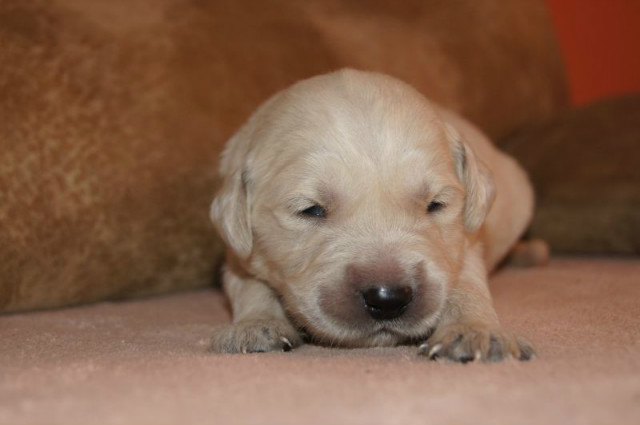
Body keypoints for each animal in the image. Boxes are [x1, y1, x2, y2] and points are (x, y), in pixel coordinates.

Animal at [209, 69, 536, 362]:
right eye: (311, 209)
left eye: (435, 204)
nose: (388, 298)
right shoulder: (235, 255)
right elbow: (249, 284)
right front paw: (255, 325)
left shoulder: (466, 243)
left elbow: (467, 284)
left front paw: (474, 331)